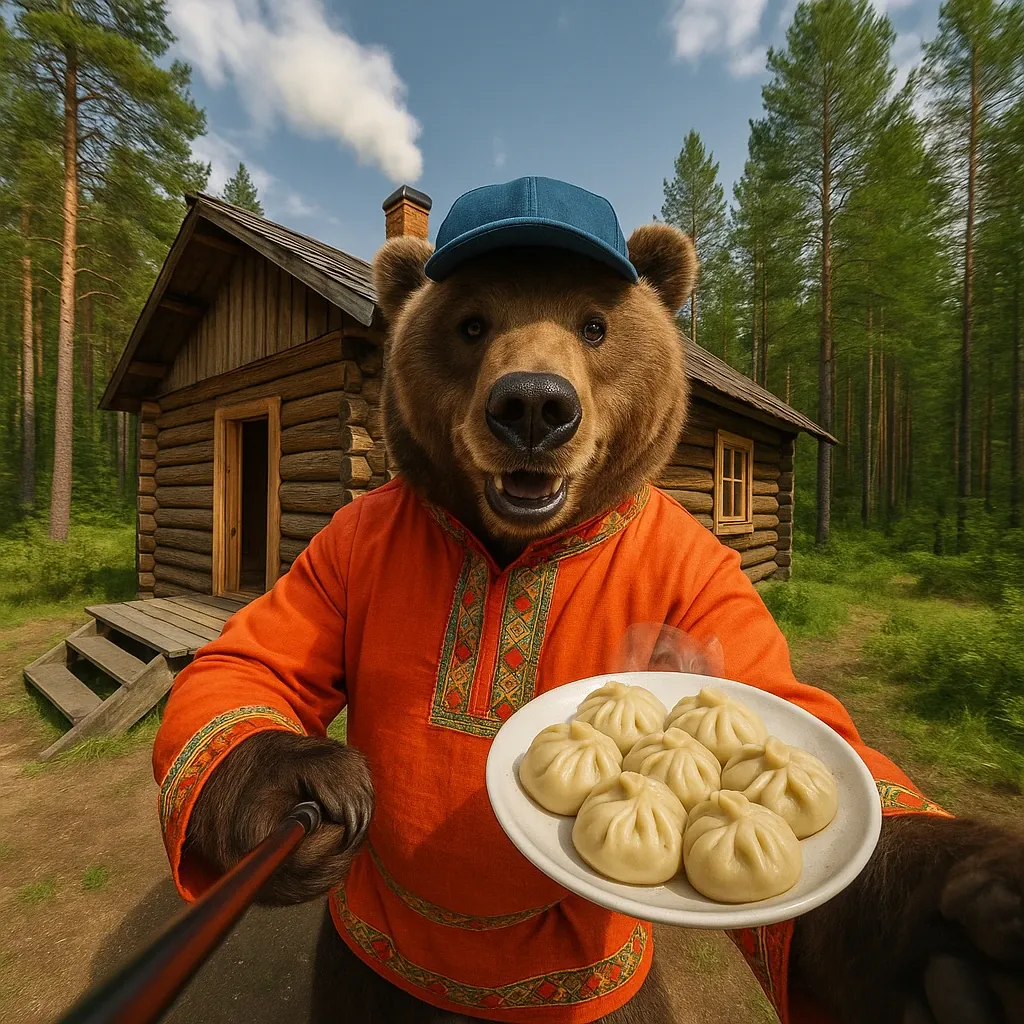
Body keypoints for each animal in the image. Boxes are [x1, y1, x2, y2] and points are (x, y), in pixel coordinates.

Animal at [153, 177, 1024, 1024]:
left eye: (595, 325)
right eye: (472, 324)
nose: (533, 404)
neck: (512, 546)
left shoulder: (702, 573)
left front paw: (960, 930)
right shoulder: (347, 544)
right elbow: (253, 659)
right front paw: (307, 792)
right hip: (361, 980)